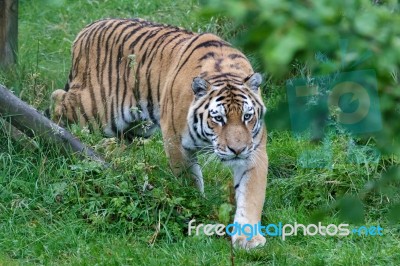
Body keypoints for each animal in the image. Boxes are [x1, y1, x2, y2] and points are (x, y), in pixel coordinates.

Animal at [50, 18, 268, 249]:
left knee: (123, 144)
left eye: (247, 116)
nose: (237, 150)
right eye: (218, 118)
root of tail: (87, 29)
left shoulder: (254, 150)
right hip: (95, 110)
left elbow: (251, 194)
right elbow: (189, 181)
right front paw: (197, 211)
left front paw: (248, 238)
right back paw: (56, 131)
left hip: (136, 125)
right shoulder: (176, 142)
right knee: (58, 98)